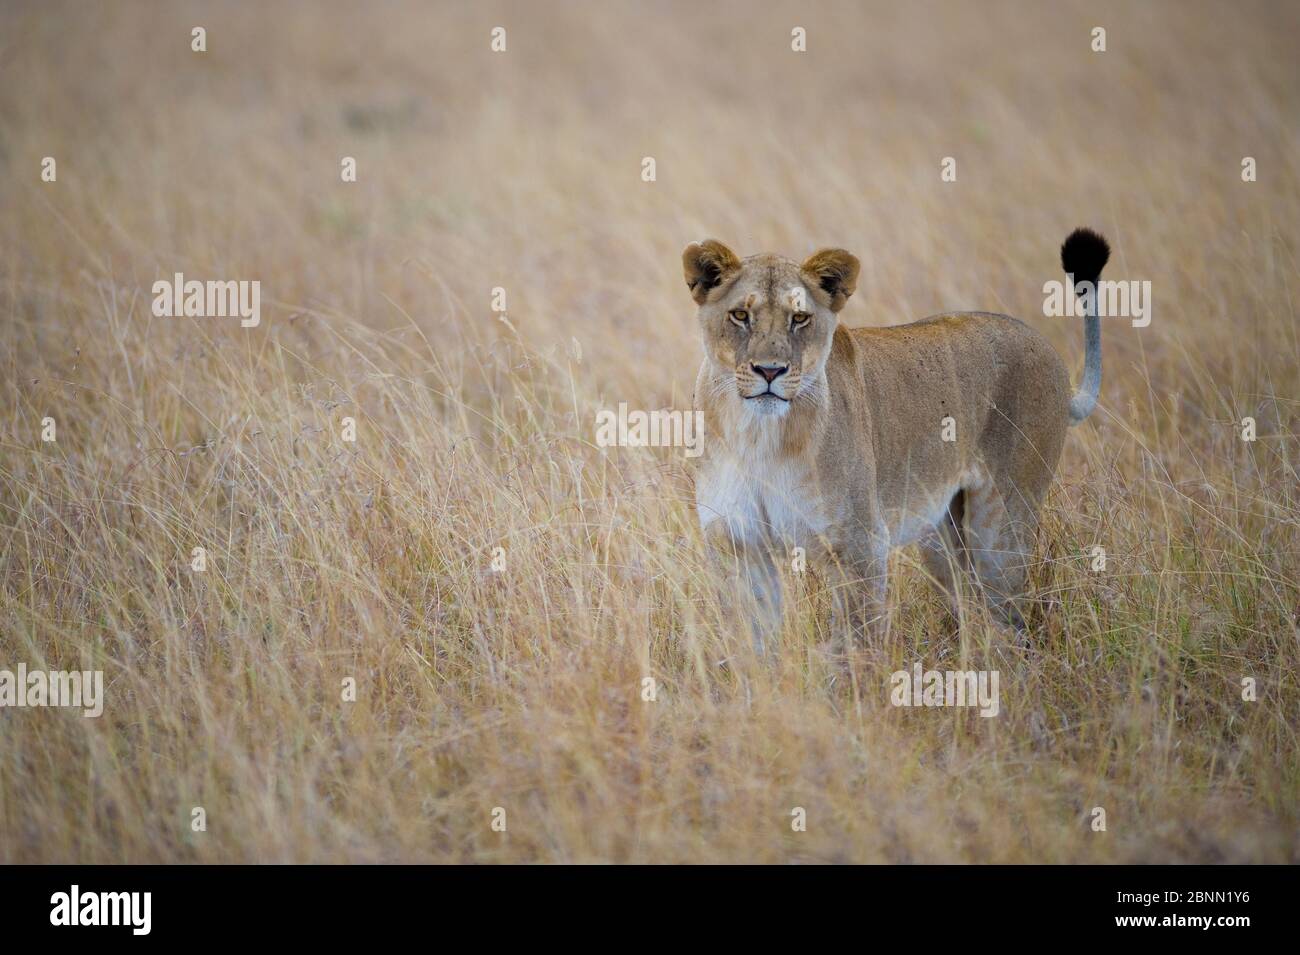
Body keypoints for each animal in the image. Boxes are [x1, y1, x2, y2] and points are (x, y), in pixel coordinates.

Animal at [684, 228, 1110, 650]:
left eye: (800, 318)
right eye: (740, 315)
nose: (770, 371)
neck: (759, 437)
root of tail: (1044, 346)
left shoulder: (859, 545)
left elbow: (857, 644)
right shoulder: (738, 544)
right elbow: (752, 642)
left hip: (1001, 525)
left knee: (1010, 618)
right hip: (941, 538)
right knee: (971, 607)